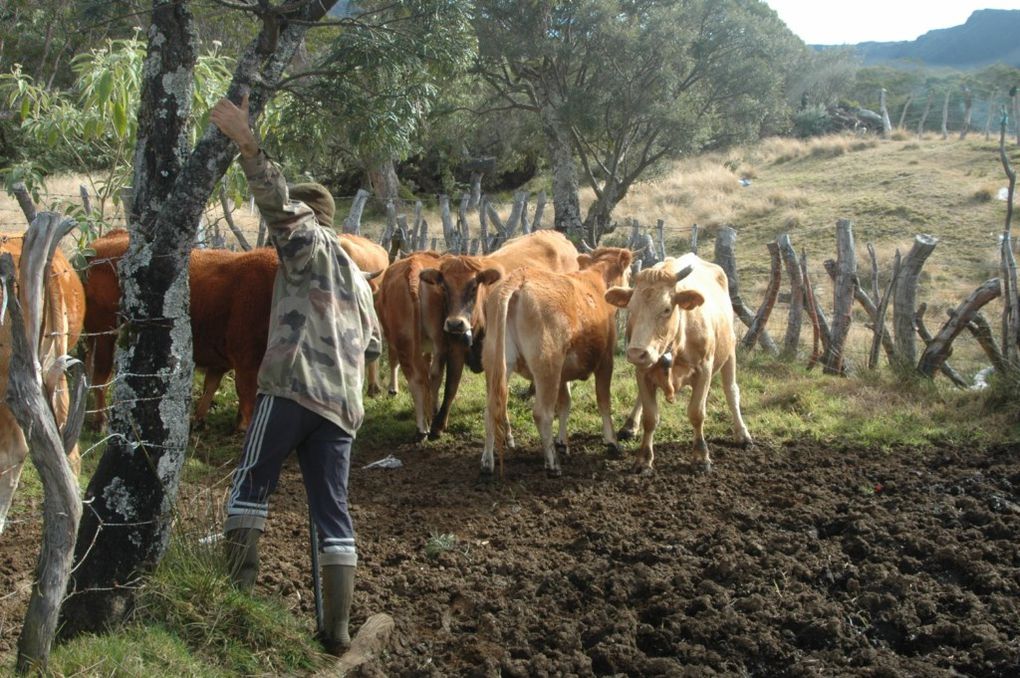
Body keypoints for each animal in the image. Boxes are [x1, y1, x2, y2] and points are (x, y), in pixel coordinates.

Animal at [82, 228, 385, 428]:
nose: (374, 344)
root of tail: (102, 243)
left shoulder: (224, 358)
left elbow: (210, 386)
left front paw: (201, 419)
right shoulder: (247, 361)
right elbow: (247, 396)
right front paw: (244, 426)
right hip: (105, 335)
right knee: (100, 376)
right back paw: (100, 420)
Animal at [418, 228, 583, 438]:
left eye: (473, 287)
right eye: (444, 287)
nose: (455, 323)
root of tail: (555, 234)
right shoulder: (455, 349)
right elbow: (450, 388)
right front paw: (438, 424)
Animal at [481, 247, 632, 475]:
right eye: (630, 272)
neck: (595, 282)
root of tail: (519, 278)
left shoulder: (563, 373)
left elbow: (565, 403)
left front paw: (562, 442)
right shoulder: (606, 360)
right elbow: (603, 401)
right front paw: (612, 442)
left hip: (498, 364)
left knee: (492, 408)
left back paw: (488, 461)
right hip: (547, 367)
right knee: (541, 413)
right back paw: (552, 463)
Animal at [599, 250, 754, 473]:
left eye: (666, 309)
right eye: (631, 308)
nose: (636, 353)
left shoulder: (704, 369)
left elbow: (697, 413)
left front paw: (701, 456)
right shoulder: (643, 371)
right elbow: (650, 417)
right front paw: (644, 459)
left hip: (730, 351)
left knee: (731, 391)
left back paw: (742, 434)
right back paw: (629, 426)